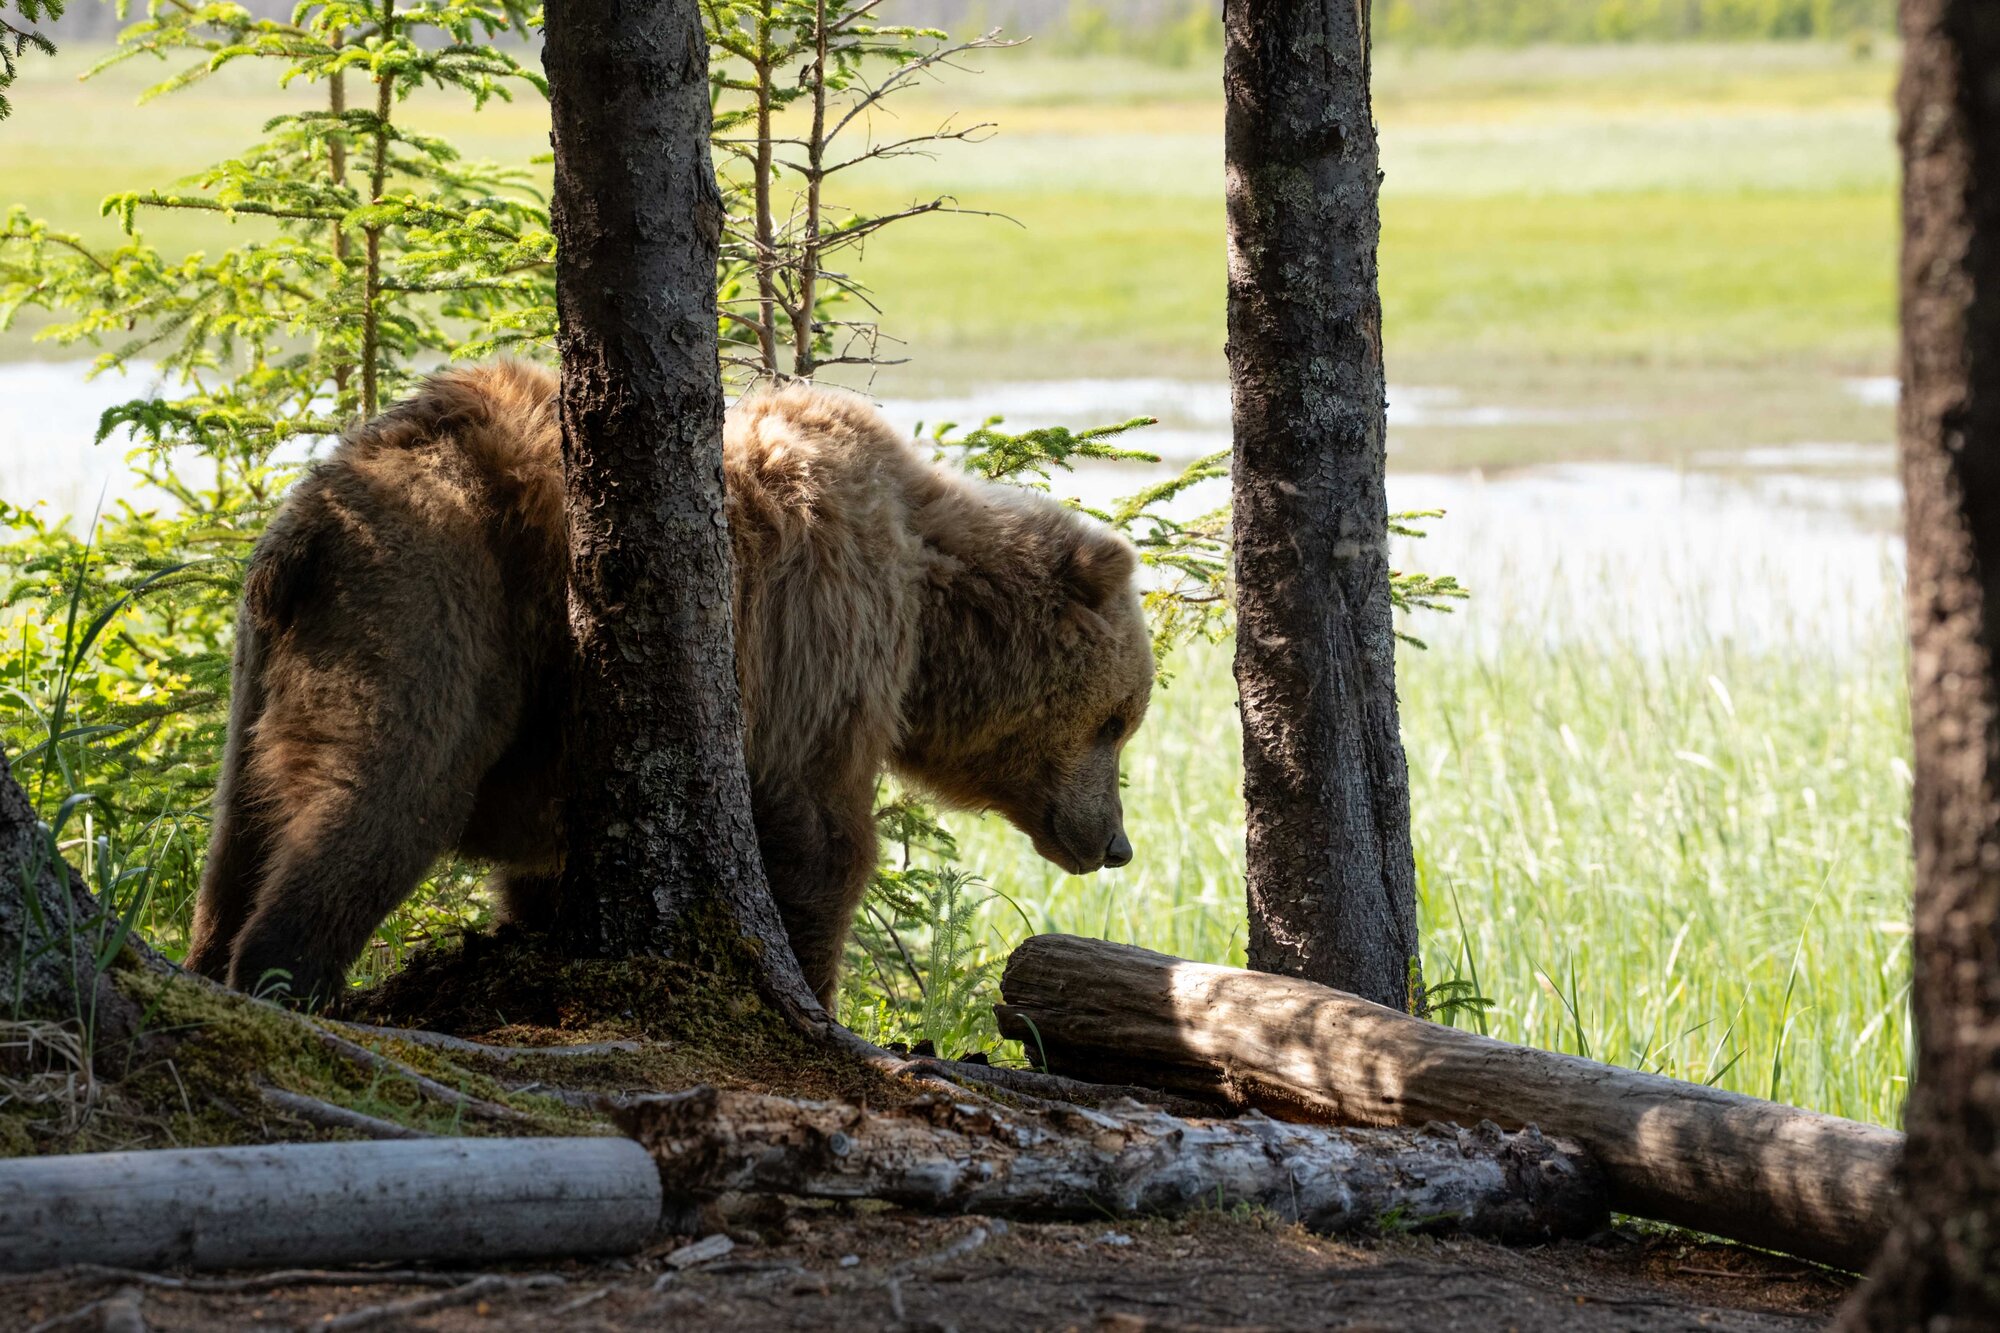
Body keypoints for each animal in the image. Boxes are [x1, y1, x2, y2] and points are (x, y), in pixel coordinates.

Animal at [184, 361, 1155, 1008]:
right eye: (1118, 720)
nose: (1115, 843)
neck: (924, 602)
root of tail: (312, 517)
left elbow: (550, 868)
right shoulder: (819, 639)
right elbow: (820, 839)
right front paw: (814, 989)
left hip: (270, 658)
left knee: (244, 827)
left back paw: (208, 958)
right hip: (433, 594)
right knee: (387, 788)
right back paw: (287, 977)